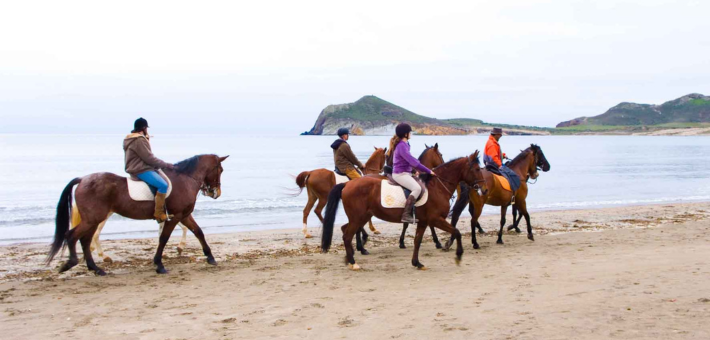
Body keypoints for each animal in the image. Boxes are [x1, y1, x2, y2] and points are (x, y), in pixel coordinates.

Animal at [46, 155, 228, 274]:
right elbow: (164, 238)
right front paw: (159, 264)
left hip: (93, 220)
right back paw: (71, 263)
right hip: (93, 219)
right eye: (220, 169)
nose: (216, 192)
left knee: (85, 240)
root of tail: (82, 179)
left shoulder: (184, 215)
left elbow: (198, 232)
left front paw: (210, 257)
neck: (185, 179)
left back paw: (95, 268)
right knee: (72, 236)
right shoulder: (176, 216)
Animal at [322, 151, 484, 270]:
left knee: (345, 230)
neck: (437, 187)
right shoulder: (435, 219)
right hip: (358, 218)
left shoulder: (424, 221)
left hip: (361, 217)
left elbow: (418, 241)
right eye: (477, 169)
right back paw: (353, 262)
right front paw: (458, 255)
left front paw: (417, 263)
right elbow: (456, 232)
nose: (483, 189)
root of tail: (347, 184)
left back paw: (349, 257)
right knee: (347, 236)